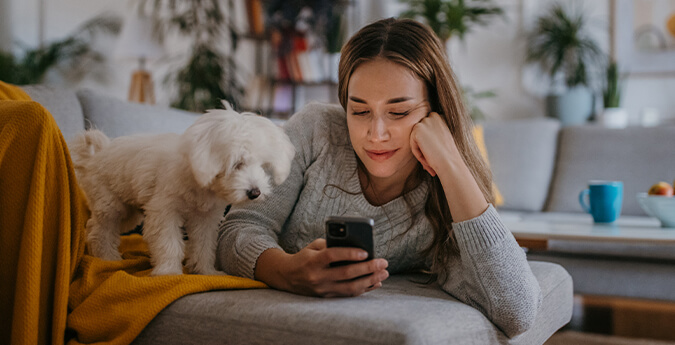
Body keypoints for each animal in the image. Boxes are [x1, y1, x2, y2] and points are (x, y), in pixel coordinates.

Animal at [68, 103, 296, 276]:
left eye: (263, 166)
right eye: (237, 164)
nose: (255, 193)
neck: (200, 183)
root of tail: (99, 152)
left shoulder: (205, 219)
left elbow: (204, 246)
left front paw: (206, 272)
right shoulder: (164, 213)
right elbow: (169, 244)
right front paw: (168, 272)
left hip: (130, 214)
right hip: (112, 206)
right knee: (99, 230)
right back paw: (107, 257)